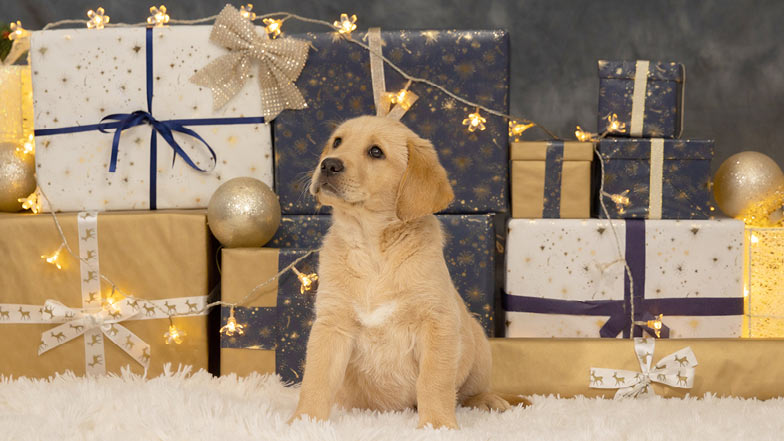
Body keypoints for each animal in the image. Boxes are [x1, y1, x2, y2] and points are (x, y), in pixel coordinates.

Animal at [288, 115, 516, 428]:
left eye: (376, 152)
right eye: (337, 142)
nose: (328, 164)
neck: (372, 248)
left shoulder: (437, 322)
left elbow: (434, 381)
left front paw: (437, 426)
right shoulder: (332, 324)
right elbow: (316, 379)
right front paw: (304, 421)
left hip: (478, 347)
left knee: (469, 391)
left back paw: (489, 400)